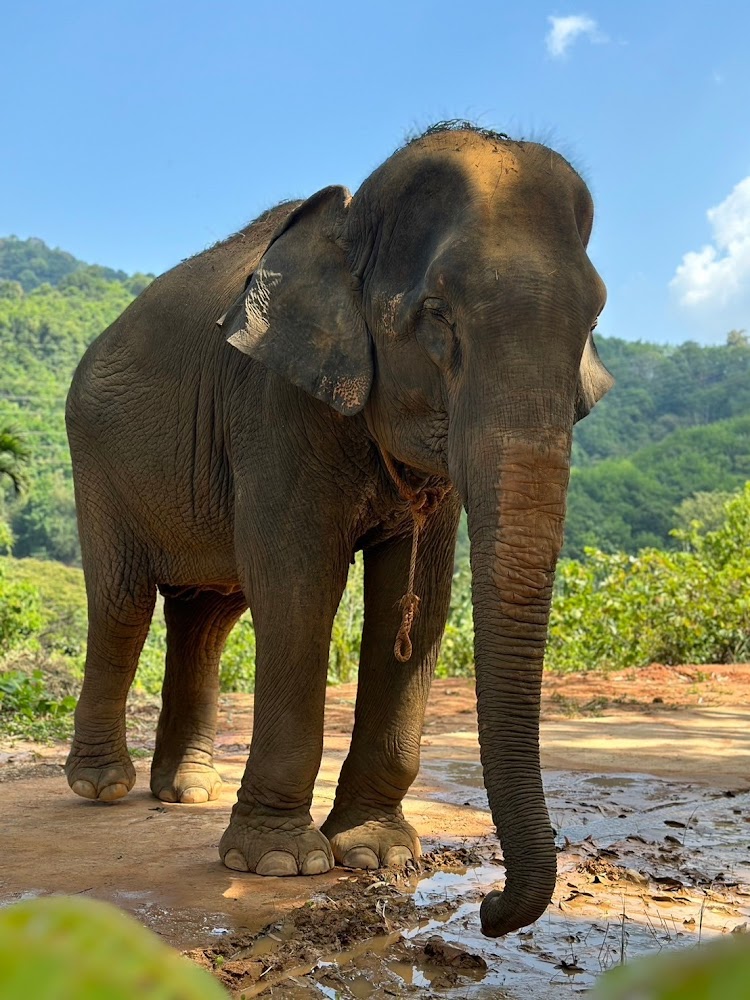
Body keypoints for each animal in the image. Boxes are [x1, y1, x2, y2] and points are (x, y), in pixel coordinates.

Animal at [64, 122, 612, 937]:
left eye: (595, 319)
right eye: (437, 312)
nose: (487, 908)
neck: (351, 221)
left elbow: (415, 601)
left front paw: (377, 853)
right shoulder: (273, 401)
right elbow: (299, 585)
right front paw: (276, 862)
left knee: (208, 618)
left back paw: (187, 791)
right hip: (96, 458)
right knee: (125, 603)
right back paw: (100, 787)